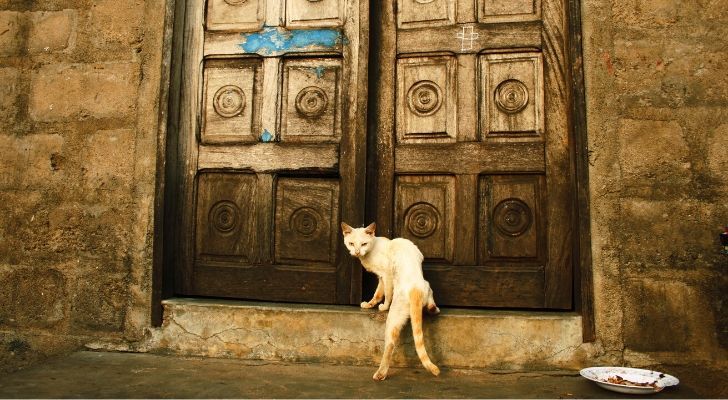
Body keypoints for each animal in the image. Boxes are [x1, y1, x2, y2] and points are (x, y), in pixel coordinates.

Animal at [340, 222, 438, 382]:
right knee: (430, 304)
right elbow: (378, 293)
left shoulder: (386, 274)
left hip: (394, 315)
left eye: (364, 244)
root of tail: (415, 289)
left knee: (390, 345)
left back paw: (380, 374)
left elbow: (385, 293)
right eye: (351, 244)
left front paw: (383, 306)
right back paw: (433, 309)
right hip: (425, 289)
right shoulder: (381, 277)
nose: (357, 252)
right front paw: (369, 304)